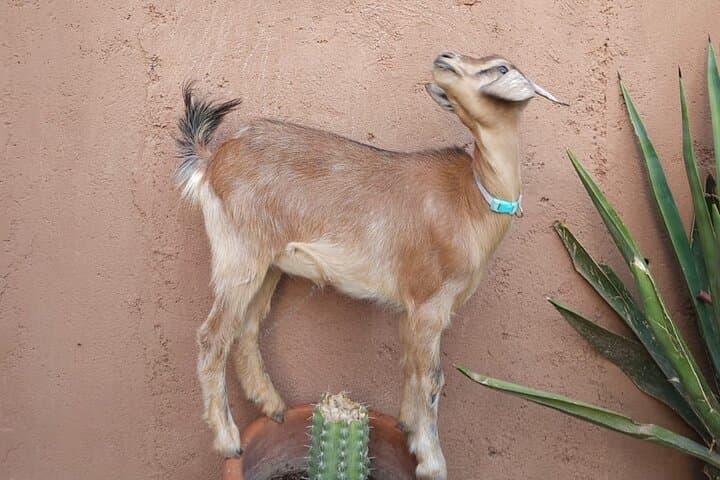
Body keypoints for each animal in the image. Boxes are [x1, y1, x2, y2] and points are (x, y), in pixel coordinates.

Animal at [176, 52, 566, 480]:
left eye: (500, 68)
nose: (443, 58)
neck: (472, 198)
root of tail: (212, 159)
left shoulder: (414, 309)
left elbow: (410, 368)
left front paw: (408, 430)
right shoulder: (430, 303)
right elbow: (432, 378)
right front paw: (432, 461)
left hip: (267, 265)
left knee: (245, 329)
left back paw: (274, 407)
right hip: (239, 255)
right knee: (212, 336)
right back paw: (229, 439)